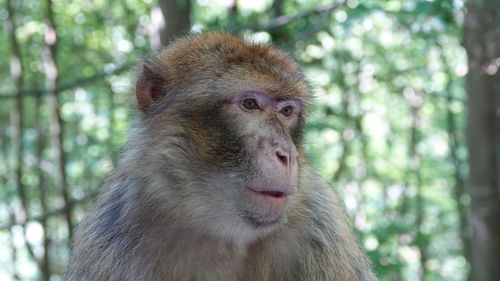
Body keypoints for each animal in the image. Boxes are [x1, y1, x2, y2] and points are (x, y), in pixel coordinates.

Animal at [63, 32, 376, 280]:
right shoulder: (111, 231)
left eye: (287, 111)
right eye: (249, 104)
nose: (287, 153)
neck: (223, 233)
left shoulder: (321, 224)